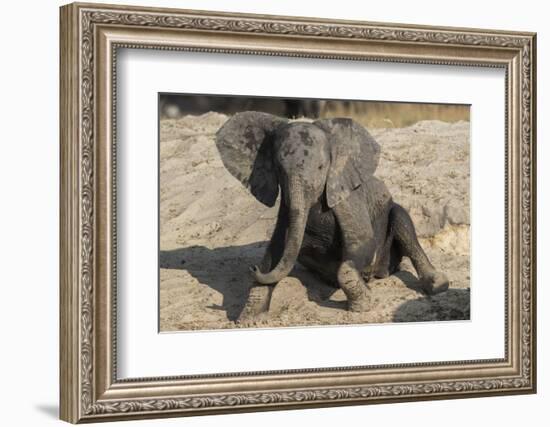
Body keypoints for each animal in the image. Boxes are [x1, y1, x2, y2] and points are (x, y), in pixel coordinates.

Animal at [215, 112, 448, 320]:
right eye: (279, 170)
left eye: (321, 167)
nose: (251, 267)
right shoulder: (285, 208)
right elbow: (275, 252)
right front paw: (249, 319)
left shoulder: (346, 198)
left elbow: (363, 243)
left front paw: (363, 305)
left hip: (393, 218)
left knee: (402, 222)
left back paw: (437, 285)